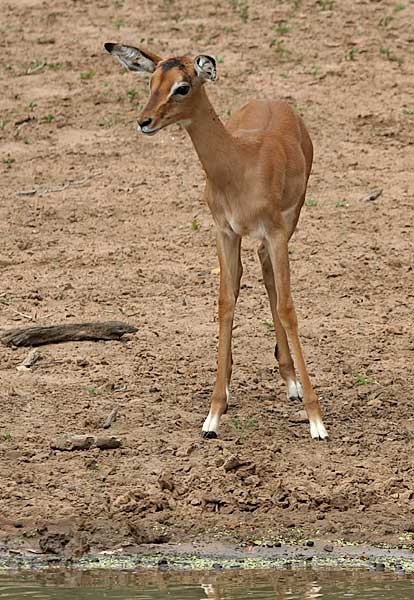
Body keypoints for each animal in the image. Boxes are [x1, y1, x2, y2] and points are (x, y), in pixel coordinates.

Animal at [104, 39, 330, 438]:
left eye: (182, 86)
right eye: (152, 82)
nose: (144, 121)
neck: (240, 165)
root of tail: (275, 100)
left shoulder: (276, 233)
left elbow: (288, 307)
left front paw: (316, 420)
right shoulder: (224, 231)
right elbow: (226, 301)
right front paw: (213, 413)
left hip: (287, 225)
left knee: (272, 284)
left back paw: (292, 384)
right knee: (254, 279)